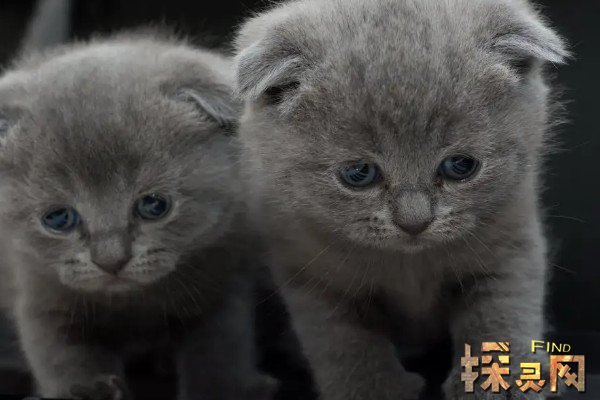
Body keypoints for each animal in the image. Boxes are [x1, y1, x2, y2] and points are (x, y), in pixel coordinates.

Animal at [0, 34, 274, 400]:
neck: (133, 305)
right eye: (58, 218)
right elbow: (60, 357)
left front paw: (222, 387)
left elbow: (219, 351)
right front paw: (89, 389)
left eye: (154, 206)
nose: (111, 261)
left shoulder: (223, 280)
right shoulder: (38, 293)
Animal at [233, 0, 568, 399]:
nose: (414, 221)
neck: (409, 265)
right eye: (358, 173)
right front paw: (373, 389)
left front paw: (499, 377)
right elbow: (343, 342)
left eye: (461, 166)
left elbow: (503, 309)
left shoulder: (510, 237)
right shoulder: (307, 269)